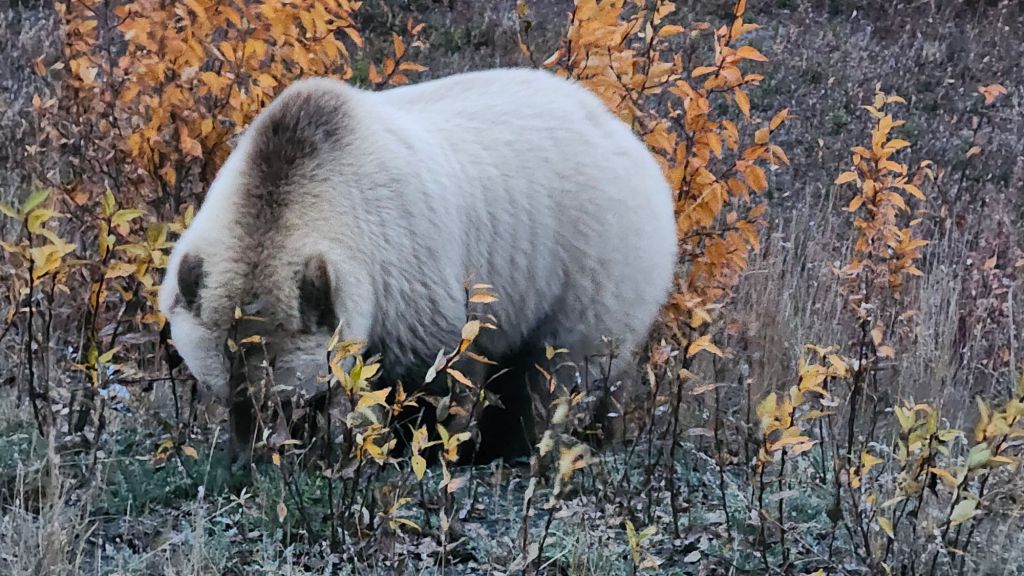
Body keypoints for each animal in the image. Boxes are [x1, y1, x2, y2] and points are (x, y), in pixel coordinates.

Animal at [157, 68, 678, 463]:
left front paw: (416, 446)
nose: (252, 458)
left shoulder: (404, 265)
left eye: (283, 397)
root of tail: (626, 133)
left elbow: (427, 375)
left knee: (563, 368)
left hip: (588, 259)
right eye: (220, 389)